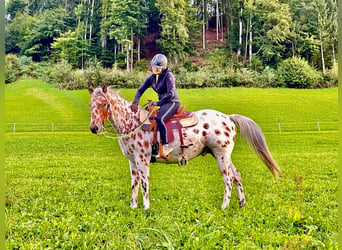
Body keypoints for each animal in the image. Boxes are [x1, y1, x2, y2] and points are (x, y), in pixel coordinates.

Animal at [89, 84, 284, 209]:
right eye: (91, 104)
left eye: (104, 103)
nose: (94, 128)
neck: (132, 123)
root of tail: (228, 118)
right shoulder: (132, 161)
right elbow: (134, 184)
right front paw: (133, 206)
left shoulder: (142, 159)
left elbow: (144, 183)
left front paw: (145, 208)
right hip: (223, 156)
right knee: (237, 175)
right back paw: (242, 204)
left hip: (221, 155)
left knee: (228, 179)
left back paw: (224, 207)